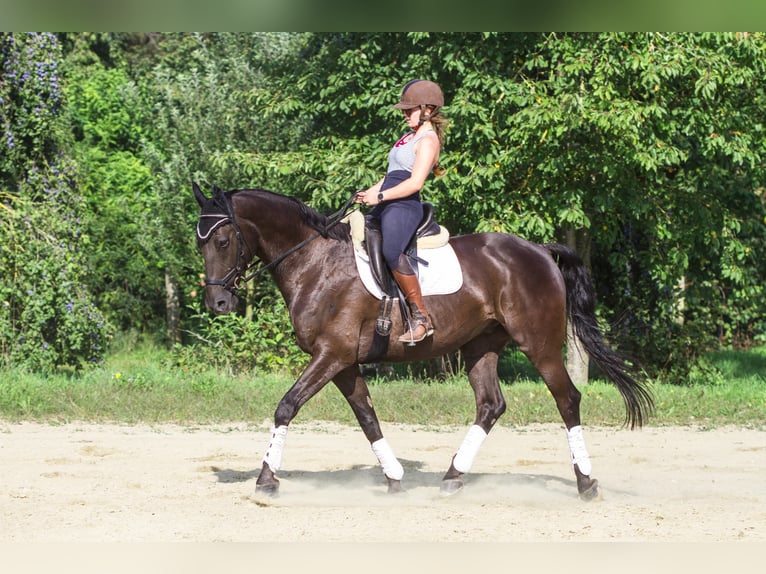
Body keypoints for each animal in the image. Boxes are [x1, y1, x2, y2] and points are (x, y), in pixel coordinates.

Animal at [192, 182, 656, 502]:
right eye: (201, 244)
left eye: (222, 240)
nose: (218, 302)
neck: (314, 262)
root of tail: (539, 250)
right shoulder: (343, 363)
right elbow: (367, 418)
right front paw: (394, 478)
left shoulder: (331, 355)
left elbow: (287, 406)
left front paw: (266, 480)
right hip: (480, 346)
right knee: (490, 405)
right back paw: (452, 477)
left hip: (539, 345)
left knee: (567, 399)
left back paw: (586, 483)